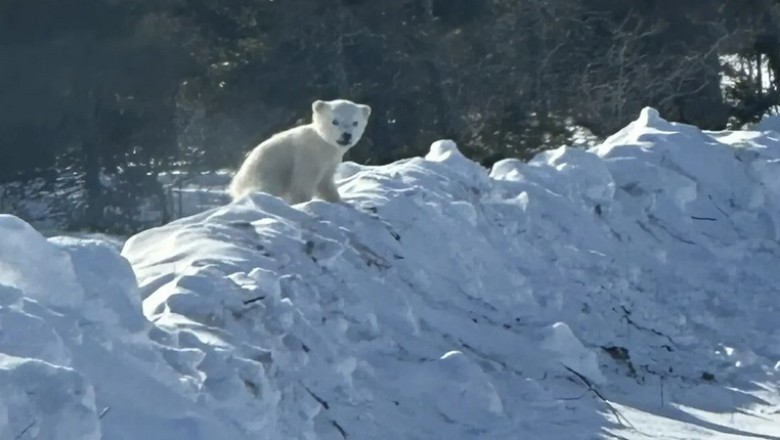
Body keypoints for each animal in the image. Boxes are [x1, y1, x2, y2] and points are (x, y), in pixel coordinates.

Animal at [228, 99, 372, 205]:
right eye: (335, 121)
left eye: (355, 123)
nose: (346, 135)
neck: (323, 145)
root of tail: (235, 186)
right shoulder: (306, 156)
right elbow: (302, 182)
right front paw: (301, 202)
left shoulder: (330, 163)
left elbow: (325, 183)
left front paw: (337, 200)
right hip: (264, 176)